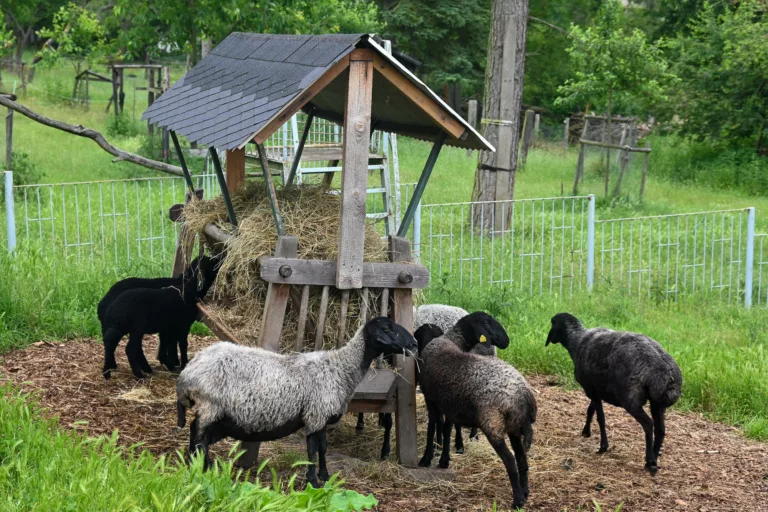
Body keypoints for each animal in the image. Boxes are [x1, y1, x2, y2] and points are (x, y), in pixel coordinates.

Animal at [176, 316, 416, 488]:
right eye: (387, 328)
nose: (413, 344)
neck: (340, 368)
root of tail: (188, 371)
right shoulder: (315, 414)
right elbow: (311, 449)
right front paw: (313, 481)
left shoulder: (321, 416)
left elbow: (323, 447)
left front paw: (325, 476)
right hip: (211, 405)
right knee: (199, 434)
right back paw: (203, 467)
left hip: (215, 412)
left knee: (196, 433)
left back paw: (195, 464)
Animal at [416, 310, 536, 510]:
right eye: (488, 323)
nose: (506, 341)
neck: (450, 340)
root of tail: (524, 395)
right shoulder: (451, 405)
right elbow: (447, 429)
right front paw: (445, 459)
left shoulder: (430, 399)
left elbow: (432, 426)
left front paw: (426, 458)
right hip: (514, 427)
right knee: (521, 458)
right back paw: (525, 492)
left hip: (493, 424)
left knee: (510, 460)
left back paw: (518, 500)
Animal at [544, 312, 684, 476]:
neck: (577, 340)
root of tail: (665, 372)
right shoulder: (596, 389)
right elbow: (590, 410)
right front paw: (586, 431)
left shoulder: (591, 389)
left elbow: (600, 418)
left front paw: (603, 447)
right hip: (658, 403)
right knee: (660, 429)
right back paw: (655, 457)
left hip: (631, 398)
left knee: (648, 424)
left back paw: (650, 462)